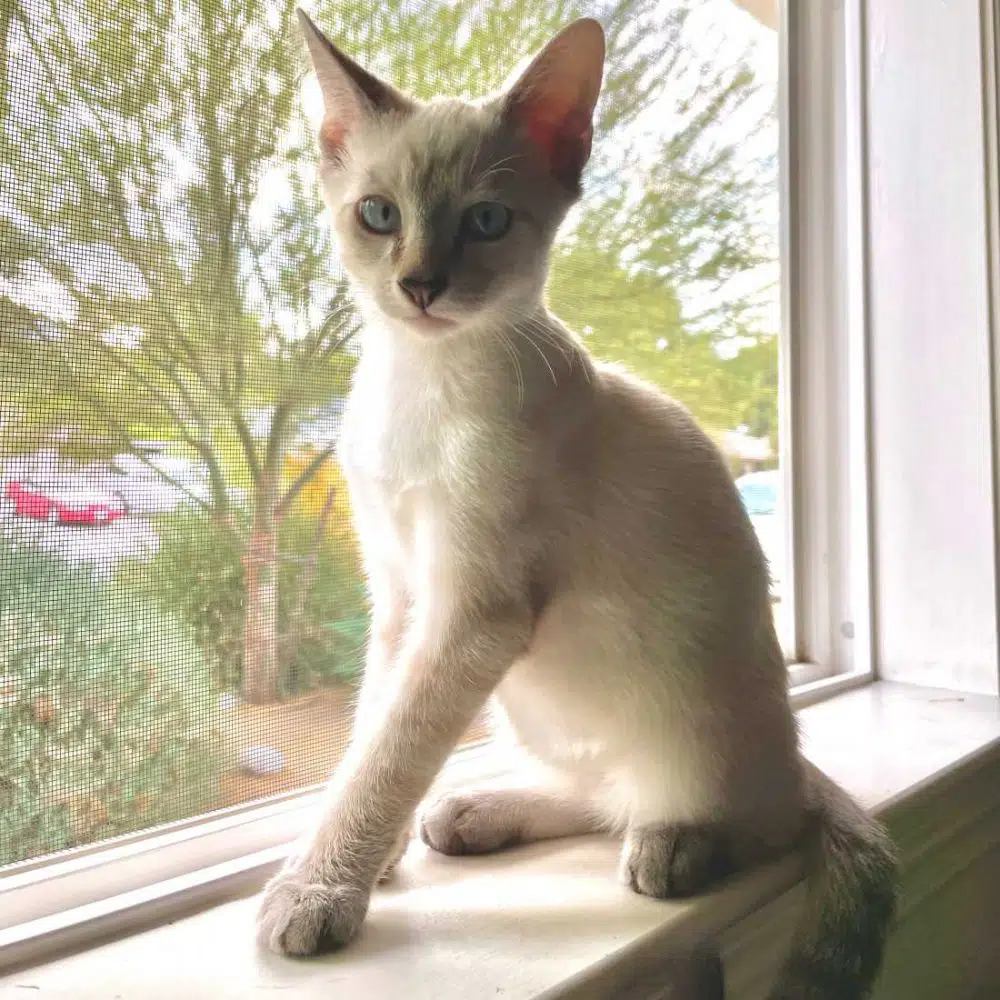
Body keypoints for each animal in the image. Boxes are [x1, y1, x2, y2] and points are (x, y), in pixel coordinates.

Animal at [257, 12, 899, 999]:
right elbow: (374, 731)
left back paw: (675, 846)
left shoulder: (471, 613)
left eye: (486, 221)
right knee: (600, 792)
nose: (420, 286)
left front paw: (319, 888)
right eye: (379, 214)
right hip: (537, 713)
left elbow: (392, 749)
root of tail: (797, 760)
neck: (421, 383)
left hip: (688, 719)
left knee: (747, 818)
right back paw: (474, 813)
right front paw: (369, 858)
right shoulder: (401, 600)